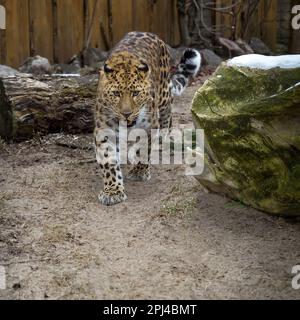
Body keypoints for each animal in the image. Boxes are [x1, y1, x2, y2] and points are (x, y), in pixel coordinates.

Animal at [95, 31, 200, 206]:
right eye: (116, 93)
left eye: (136, 93)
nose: (126, 113)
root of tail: (147, 33)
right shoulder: (104, 130)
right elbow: (109, 162)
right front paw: (113, 191)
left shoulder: (148, 127)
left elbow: (143, 150)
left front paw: (139, 171)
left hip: (163, 95)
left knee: (168, 114)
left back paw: (162, 138)